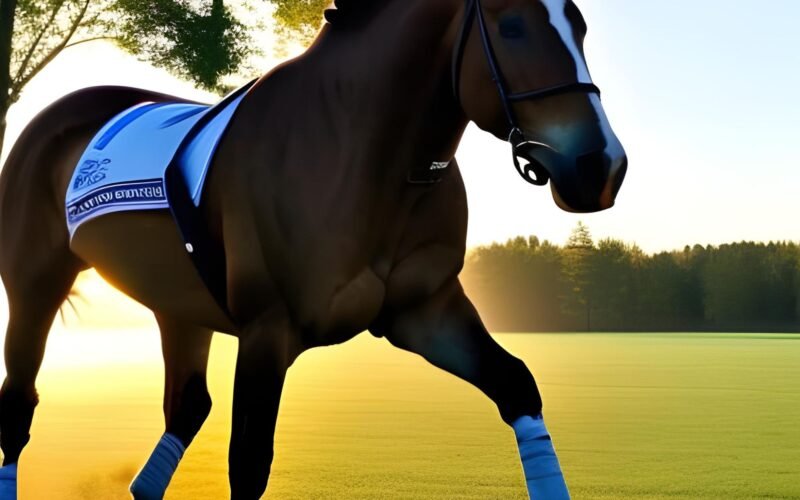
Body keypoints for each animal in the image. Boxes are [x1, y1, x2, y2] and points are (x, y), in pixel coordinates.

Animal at [0, 0, 626, 498]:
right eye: (513, 25)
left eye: (579, 23)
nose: (600, 166)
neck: (359, 153)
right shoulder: (267, 331)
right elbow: (248, 464)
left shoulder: (425, 311)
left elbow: (518, 386)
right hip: (35, 288)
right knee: (19, 405)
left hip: (177, 305)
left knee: (184, 407)